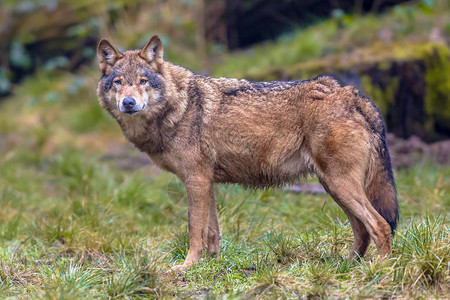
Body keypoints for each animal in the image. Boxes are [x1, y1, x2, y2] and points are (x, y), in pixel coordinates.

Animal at [96, 35, 400, 272]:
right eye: (118, 82)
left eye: (143, 81)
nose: (129, 103)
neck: (178, 106)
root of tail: (350, 93)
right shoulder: (206, 182)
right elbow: (212, 232)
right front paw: (211, 265)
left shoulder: (196, 180)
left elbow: (194, 230)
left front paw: (187, 266)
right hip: (333, 186)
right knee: (362, 229)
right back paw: (346, 267)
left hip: (339, 184)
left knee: (380, 225)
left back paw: (380, 269)